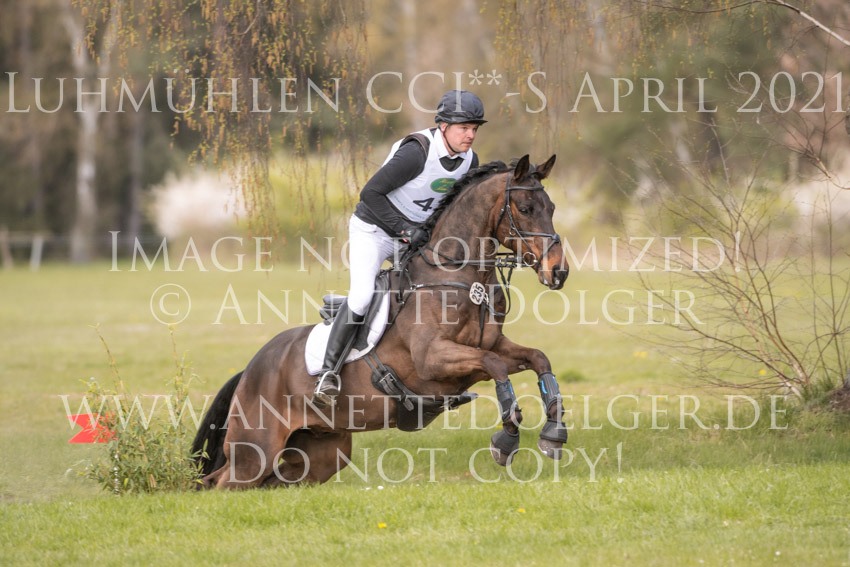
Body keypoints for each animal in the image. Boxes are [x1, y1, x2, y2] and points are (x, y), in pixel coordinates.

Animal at [192, 154, 570, 488]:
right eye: (525, 208)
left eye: (551, 209)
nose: (559, 272)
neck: (457, 275)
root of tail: (250, 370)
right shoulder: (433, 359)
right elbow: (495, 365)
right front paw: (506, 439)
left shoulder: (490, 347)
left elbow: (537, 359)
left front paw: (553, 432)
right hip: (256, 448)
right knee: (219, 481)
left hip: (321, 454)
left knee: (273, 480)